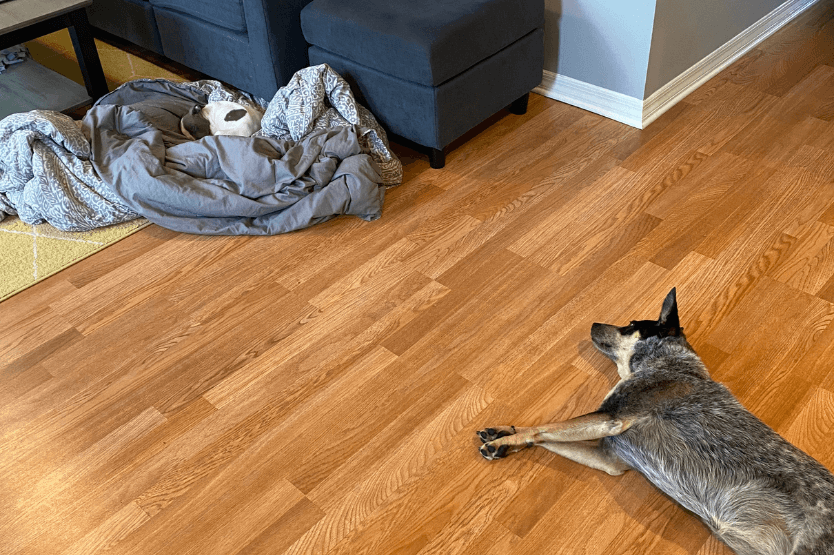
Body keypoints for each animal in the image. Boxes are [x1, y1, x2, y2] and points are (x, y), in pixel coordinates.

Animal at [474, 292, 832, 555]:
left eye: (631, 325)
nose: (592, 322)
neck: (668, 362)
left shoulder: (611, 417)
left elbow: (547, 426)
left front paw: (503, 441)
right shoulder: (609, 458)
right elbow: (545, 435)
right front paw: (506, 434)